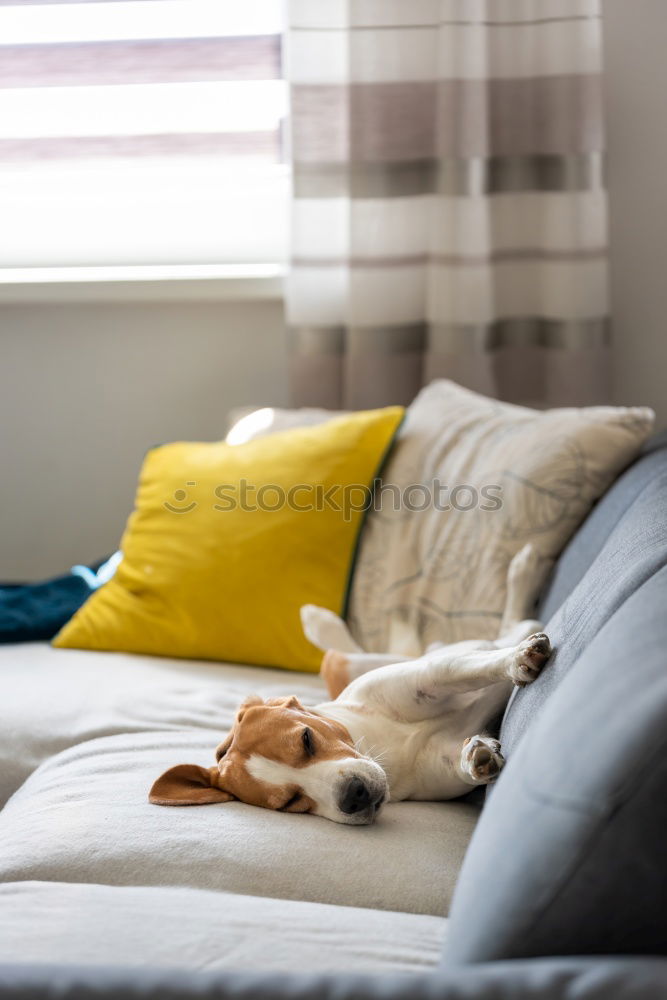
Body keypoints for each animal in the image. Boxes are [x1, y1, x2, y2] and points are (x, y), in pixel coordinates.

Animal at [151, 544, 552, 824]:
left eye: (306, 739)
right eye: (290, 803)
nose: (353, 796)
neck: (382, 746)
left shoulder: (426, 677)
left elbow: (463, 668)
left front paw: (517, 660)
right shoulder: (440, 766)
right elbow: (464, 762)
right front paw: (478, 755)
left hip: (372, 662)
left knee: (512, 626)